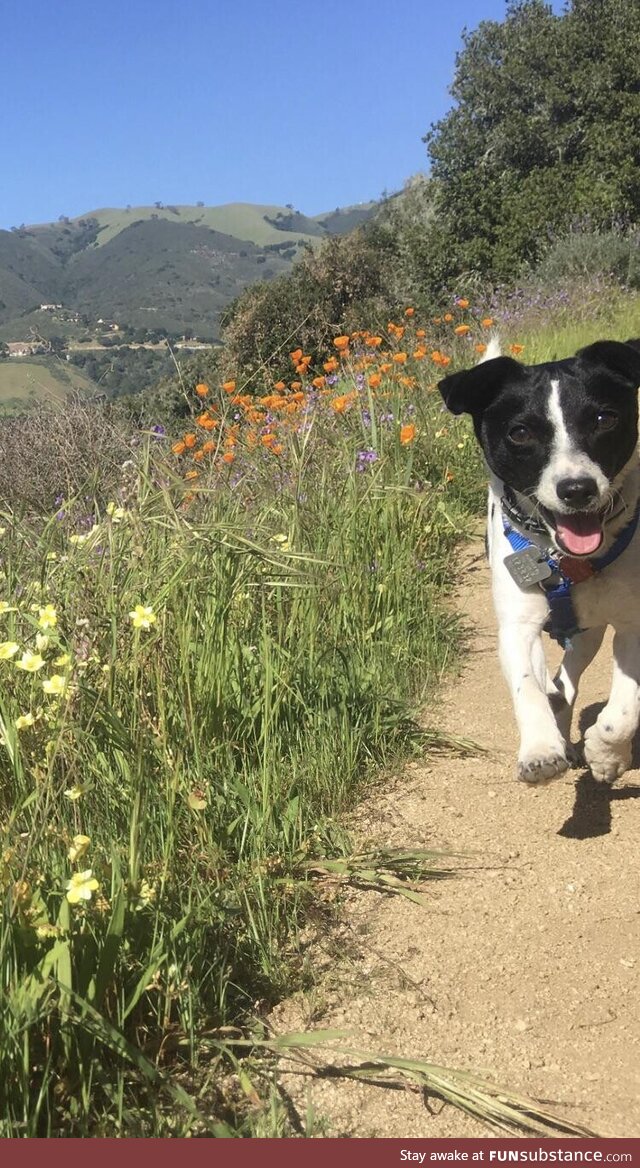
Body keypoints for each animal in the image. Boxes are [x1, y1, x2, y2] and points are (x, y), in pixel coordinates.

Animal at [439, 338, 640, 789]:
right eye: (520, 432)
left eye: (604, 418)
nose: (577, 489)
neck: (565, 562)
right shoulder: (517, 625)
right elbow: (528, 686)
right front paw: (540, 749)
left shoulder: (634, 623)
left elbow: (622, 711)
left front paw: (606, 755)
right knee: (557, 686)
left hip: (589, 632)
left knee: (570, 678)